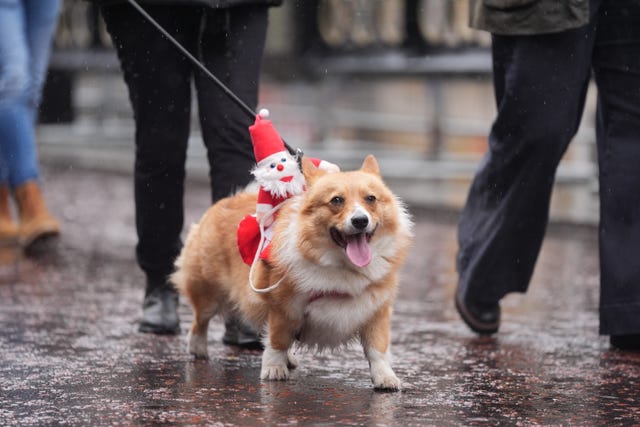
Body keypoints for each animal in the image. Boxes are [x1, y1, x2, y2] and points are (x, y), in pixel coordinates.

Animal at [171, 155, 410, 392]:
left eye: (371, 198)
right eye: (336, 200)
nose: (360, 220)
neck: (342, 267)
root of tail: (230, 199)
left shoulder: (376, 310)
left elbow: (378, 350)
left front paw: (385, 378)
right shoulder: (283, 308)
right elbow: (277, 341)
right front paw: (274, 369)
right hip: (208, 293)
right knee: (200, 320)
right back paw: (198, 348)